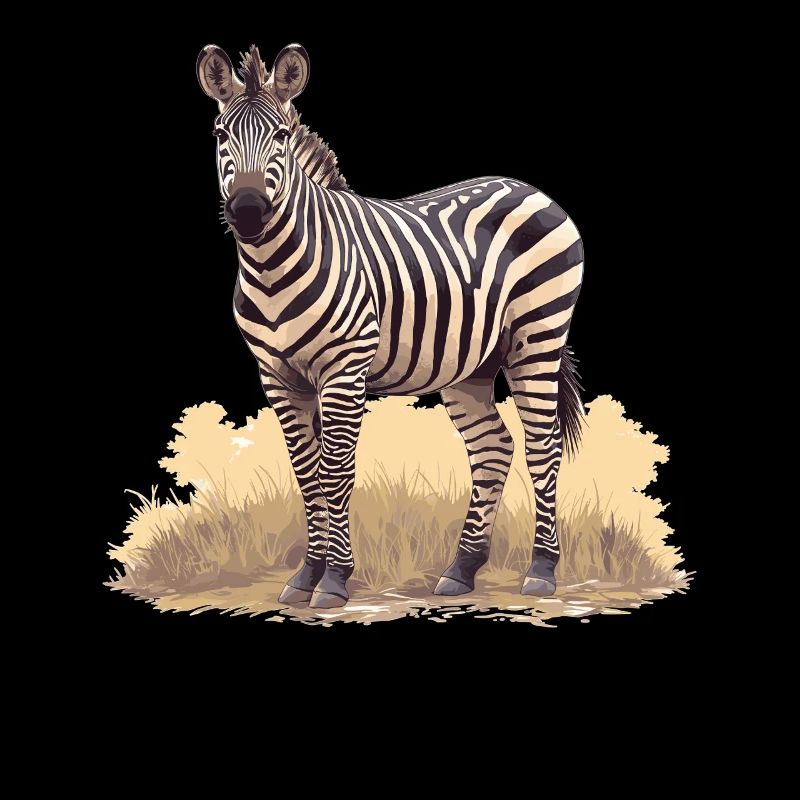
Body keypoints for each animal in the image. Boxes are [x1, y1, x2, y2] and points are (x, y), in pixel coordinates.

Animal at [196, 43, 585, 609]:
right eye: (220, 134)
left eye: (282, 136)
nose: (247, 210)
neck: (272, 268)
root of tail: (530, 189)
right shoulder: (277, 377)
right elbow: (305, 473)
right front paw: (305, 576)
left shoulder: (344, 367)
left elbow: (335, 470)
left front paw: (334, 581)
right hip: (470, 364)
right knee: (494, 448)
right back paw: (461, 570)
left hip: (537, 337)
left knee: (543, 446)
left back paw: (542, 571)